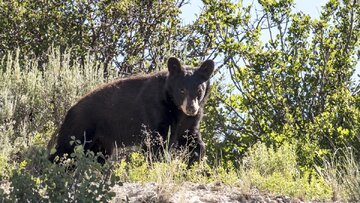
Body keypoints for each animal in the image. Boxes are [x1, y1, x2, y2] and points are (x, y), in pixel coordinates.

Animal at [49, 56, 215, 165]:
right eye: (182, 90)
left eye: (199, 90)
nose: (191, 108)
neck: (176, 108)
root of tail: (70, 109)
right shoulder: (157, 110)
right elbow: (156, 143)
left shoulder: (190, 121)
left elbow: (191, 140)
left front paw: (195, 163)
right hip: (81, 127)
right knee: (66, 150)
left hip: (100, 141)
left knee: (97, 156)